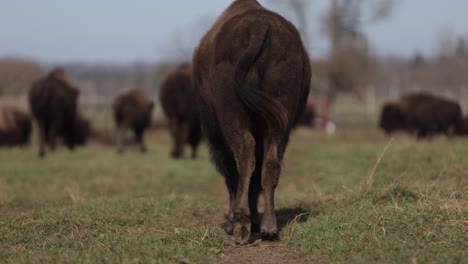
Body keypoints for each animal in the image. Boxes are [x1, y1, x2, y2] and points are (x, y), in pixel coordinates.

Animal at [192, 0, 312, 245]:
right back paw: (268, 228)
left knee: (244, 157)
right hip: (279, 121)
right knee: (270, 164)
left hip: (233, 119)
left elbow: (232, 175)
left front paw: (233, 222)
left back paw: (240, 225)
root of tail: (260, 23)